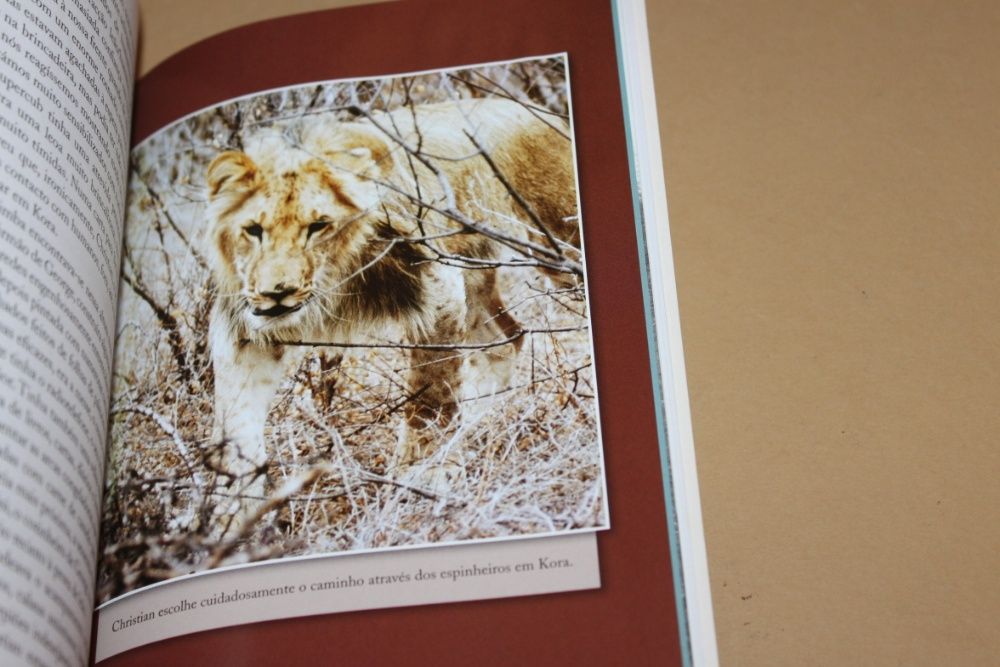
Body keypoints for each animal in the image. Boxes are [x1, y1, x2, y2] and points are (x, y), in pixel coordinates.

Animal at [204, 97, 580, 528]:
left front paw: (421, 476)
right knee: (504, 341)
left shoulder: (435, 282)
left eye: (318, 226)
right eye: (253, 230)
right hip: (475, 270)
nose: (277, 293)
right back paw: (477, 428)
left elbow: (431, 390)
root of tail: (538, 109)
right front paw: (230, 515)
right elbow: (237, 423)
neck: (333, 281)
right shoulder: (244, 330)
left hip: (558, 246)